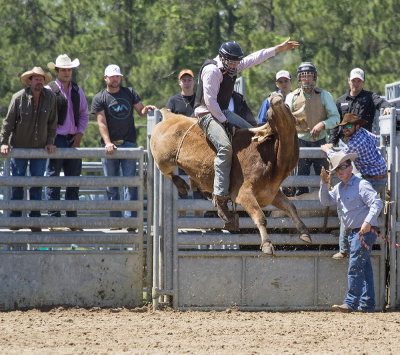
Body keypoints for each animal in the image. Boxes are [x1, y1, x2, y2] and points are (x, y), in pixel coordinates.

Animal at [150, 93, 312, 254]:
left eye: (286, 106)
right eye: (268, 114)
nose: (275, 97)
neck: (271, 160)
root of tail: (169, 116)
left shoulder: (271, 194)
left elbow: (291, 206)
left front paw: (305, 233)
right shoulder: (243, 193)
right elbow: (260, 217)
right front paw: (267, 244)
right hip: (163, 158)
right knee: (166, 170)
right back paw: (182, 184)